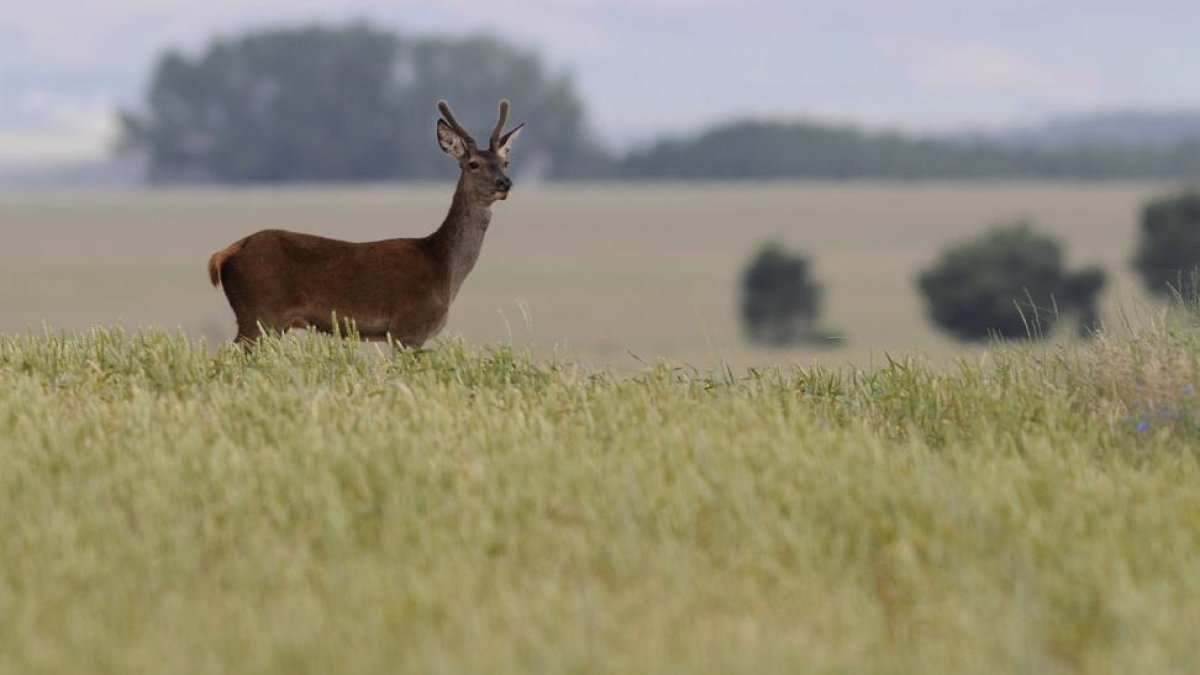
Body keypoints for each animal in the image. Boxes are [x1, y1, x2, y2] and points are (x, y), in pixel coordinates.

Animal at [207, 99, 523, 346]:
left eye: (505, 163)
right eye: (473, 164)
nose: (504, 183)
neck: (443, 268)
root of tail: (225, 253)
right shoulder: (408, 327)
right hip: (259, 314)